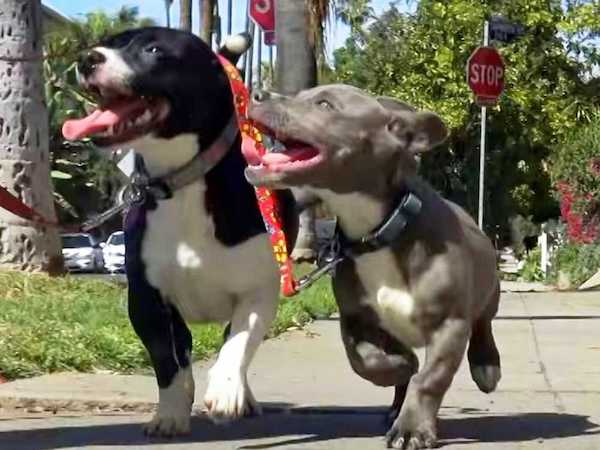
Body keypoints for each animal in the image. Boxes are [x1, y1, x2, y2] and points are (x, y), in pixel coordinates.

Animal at [64, 28, 294, 436]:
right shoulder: (147, 301)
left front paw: (227, 388)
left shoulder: (258, 291)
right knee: (183, 350)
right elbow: (166, 364)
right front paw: (170, 412)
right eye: (111, 41)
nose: (88, 58)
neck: (182, 180)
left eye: (154, 50)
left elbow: (239, 341)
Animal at [244, 85, 502, 450]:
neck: (375, 230)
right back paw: (396, 403)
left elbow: (430, 378)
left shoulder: (449, 325)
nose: (258, 92)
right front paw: (402, 365)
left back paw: (485, 366)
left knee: (484, 323)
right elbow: (367, 361)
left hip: (489, 293)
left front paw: (412, 429)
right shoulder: (356, 319)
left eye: (325, 104)